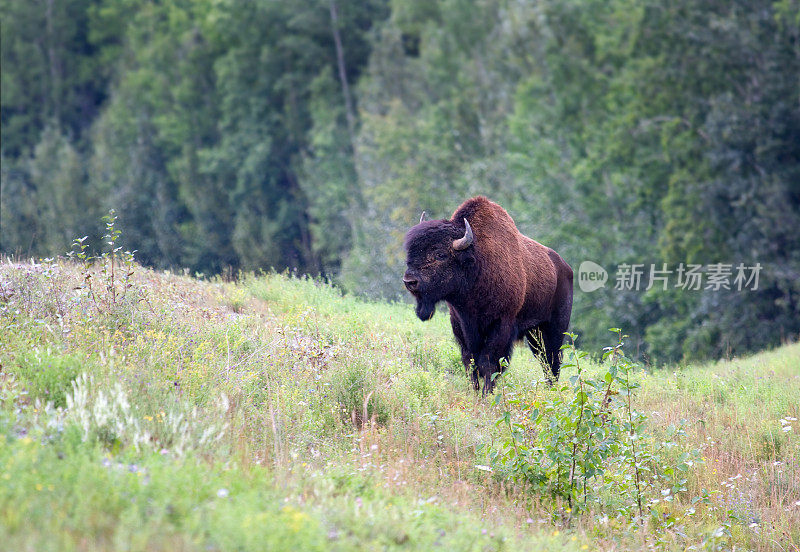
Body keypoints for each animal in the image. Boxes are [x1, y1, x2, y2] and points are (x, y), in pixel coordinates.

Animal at [404, 196, 572, 394]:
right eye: (411, 252)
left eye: (440, 254)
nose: (409, 281)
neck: (477, 262)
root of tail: (565, 267)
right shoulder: (461, 325)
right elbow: (470, 362)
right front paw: (475, 392)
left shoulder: (500, 325)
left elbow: (489, 363)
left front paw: (487, 394)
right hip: (534, 333)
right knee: (545, 360)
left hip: (554, 327)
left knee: (552, 360)